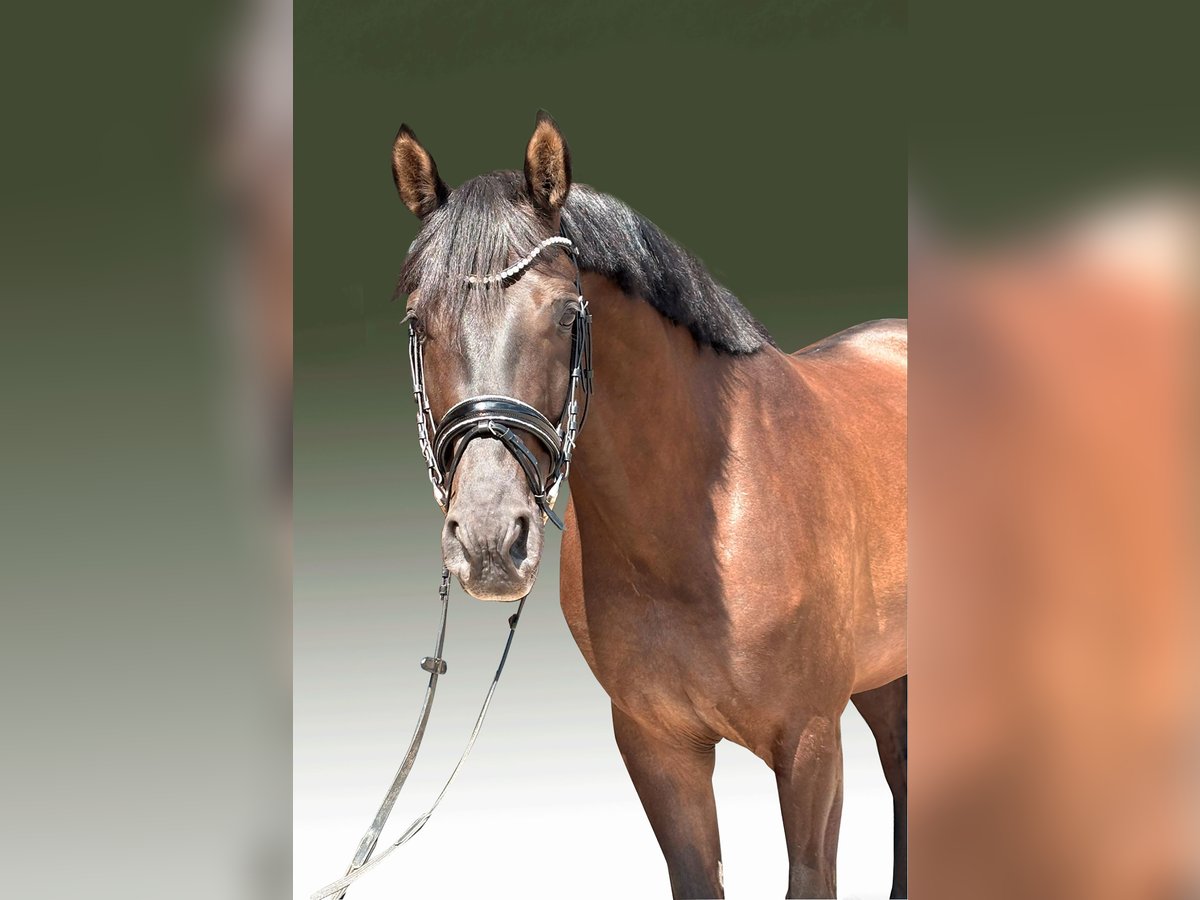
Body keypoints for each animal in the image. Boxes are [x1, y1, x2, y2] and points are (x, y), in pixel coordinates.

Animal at [392, 111, 908, 899]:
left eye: (566, 316)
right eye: (419, 321)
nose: (487, 540)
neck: (700, 530)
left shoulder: (812, 744)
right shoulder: (657, 746)